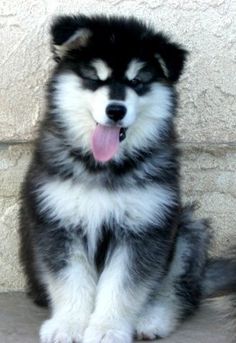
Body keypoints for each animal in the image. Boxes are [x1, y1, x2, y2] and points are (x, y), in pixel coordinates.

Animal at [18, 14, 236, 342]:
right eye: (96, 78)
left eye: (137, 82)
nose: (116, 110)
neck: (104, 167)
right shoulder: (58, 222)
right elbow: (70, 282)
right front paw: (68, 324)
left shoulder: (144, 227)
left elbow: (122, 288)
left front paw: (107, 329)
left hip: (188, 231)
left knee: (178, 292)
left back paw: (152, 319)